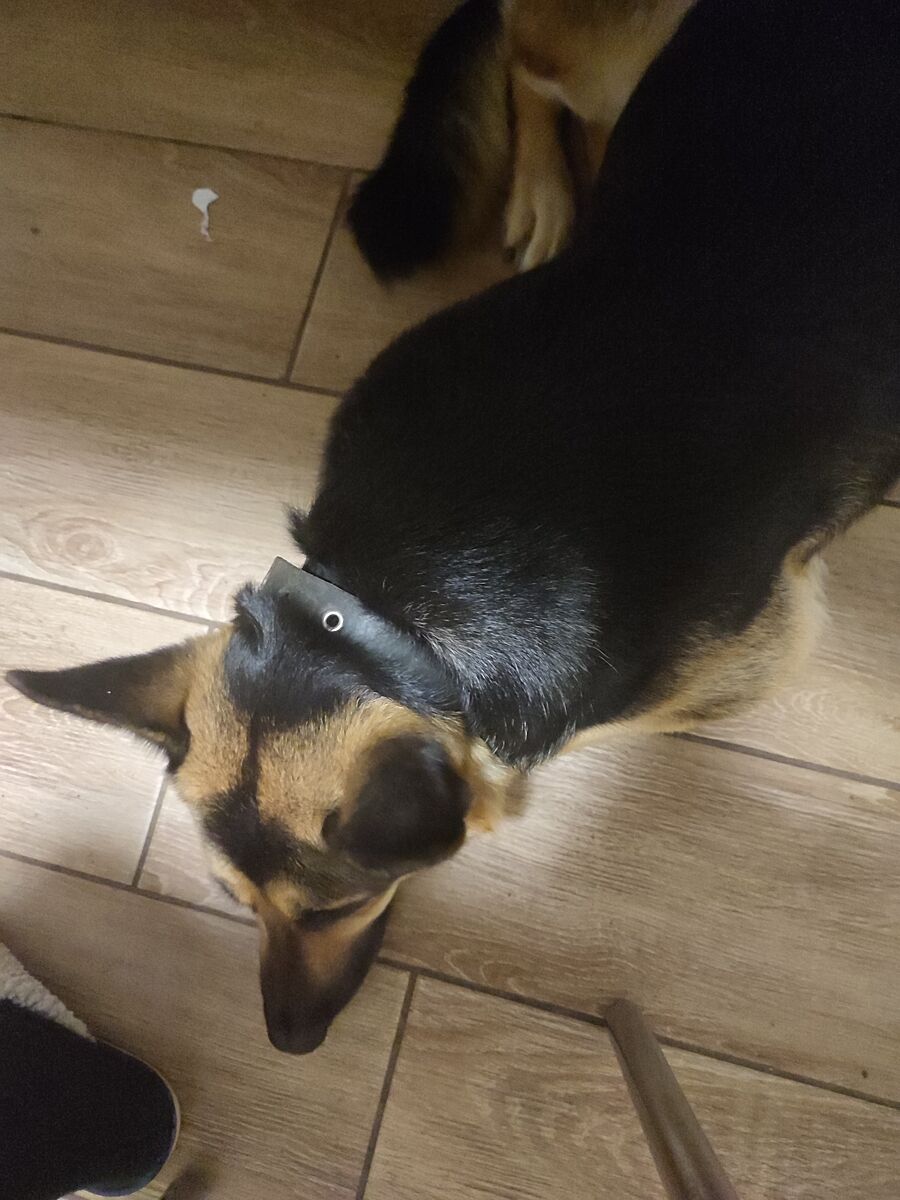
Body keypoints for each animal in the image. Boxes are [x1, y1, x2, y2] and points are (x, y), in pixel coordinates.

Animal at [8, 0, 900, 1054]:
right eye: (234, 902)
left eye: (332, 908)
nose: (288, 1042)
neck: (396, 604)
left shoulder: (749, 659)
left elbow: (537, 760)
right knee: (524, 50)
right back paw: (549, 195)